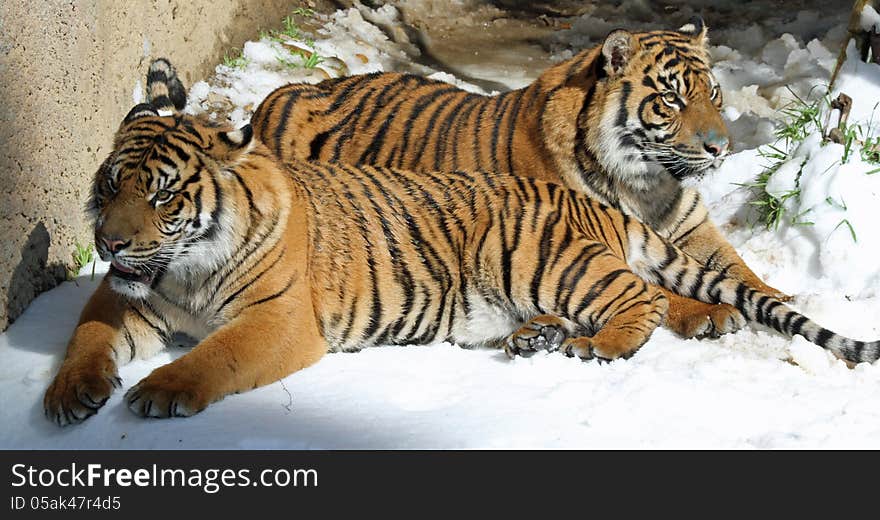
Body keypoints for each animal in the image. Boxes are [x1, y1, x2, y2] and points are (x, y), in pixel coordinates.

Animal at [43, 59, 880, 424]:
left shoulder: (279, 320)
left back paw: (597, 347)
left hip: (548, 260)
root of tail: (597, 205)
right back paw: (536, 339)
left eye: (163, 195)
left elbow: (214, 357)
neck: (179, 272)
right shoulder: (120, 301)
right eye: (110, 185)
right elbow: (86, 337)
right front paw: (67, 394)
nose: (110, 245)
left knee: (640, 297)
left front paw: (161, 391)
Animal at [249, 18, 784, 342]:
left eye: (713, 92)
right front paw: (711, 313)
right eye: (671, 99)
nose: (721, 147)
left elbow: (738, 271)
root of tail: (301, 86)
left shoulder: (692, 228)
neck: (649, 184)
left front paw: (782, 300)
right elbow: (664, 289)